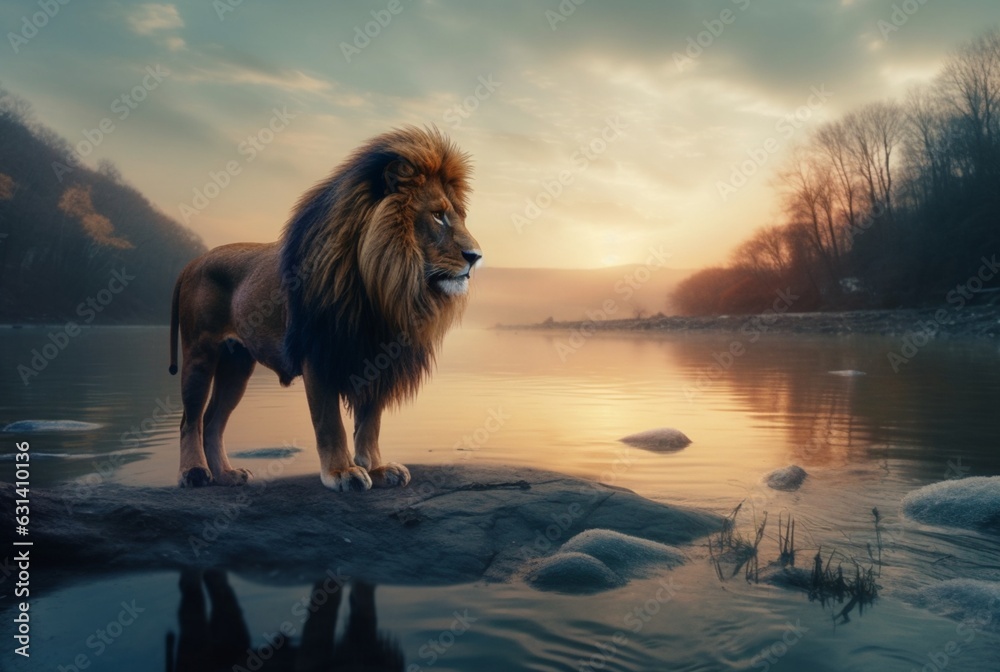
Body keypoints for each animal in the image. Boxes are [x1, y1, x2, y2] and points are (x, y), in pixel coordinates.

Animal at [168, 126, 480, 491]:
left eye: (458, 216)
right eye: (437, 215)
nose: (476, 256)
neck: (380, 288)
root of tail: (193, 262)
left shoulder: (377, 357)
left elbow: (370, 422)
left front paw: (377, 468)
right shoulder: (319, 353)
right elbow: (330, 422)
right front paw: (342, 473)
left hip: (237, 364)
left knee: (213, 420)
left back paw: (228, 475)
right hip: (200, 354)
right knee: (190, 419)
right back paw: (194, 473)